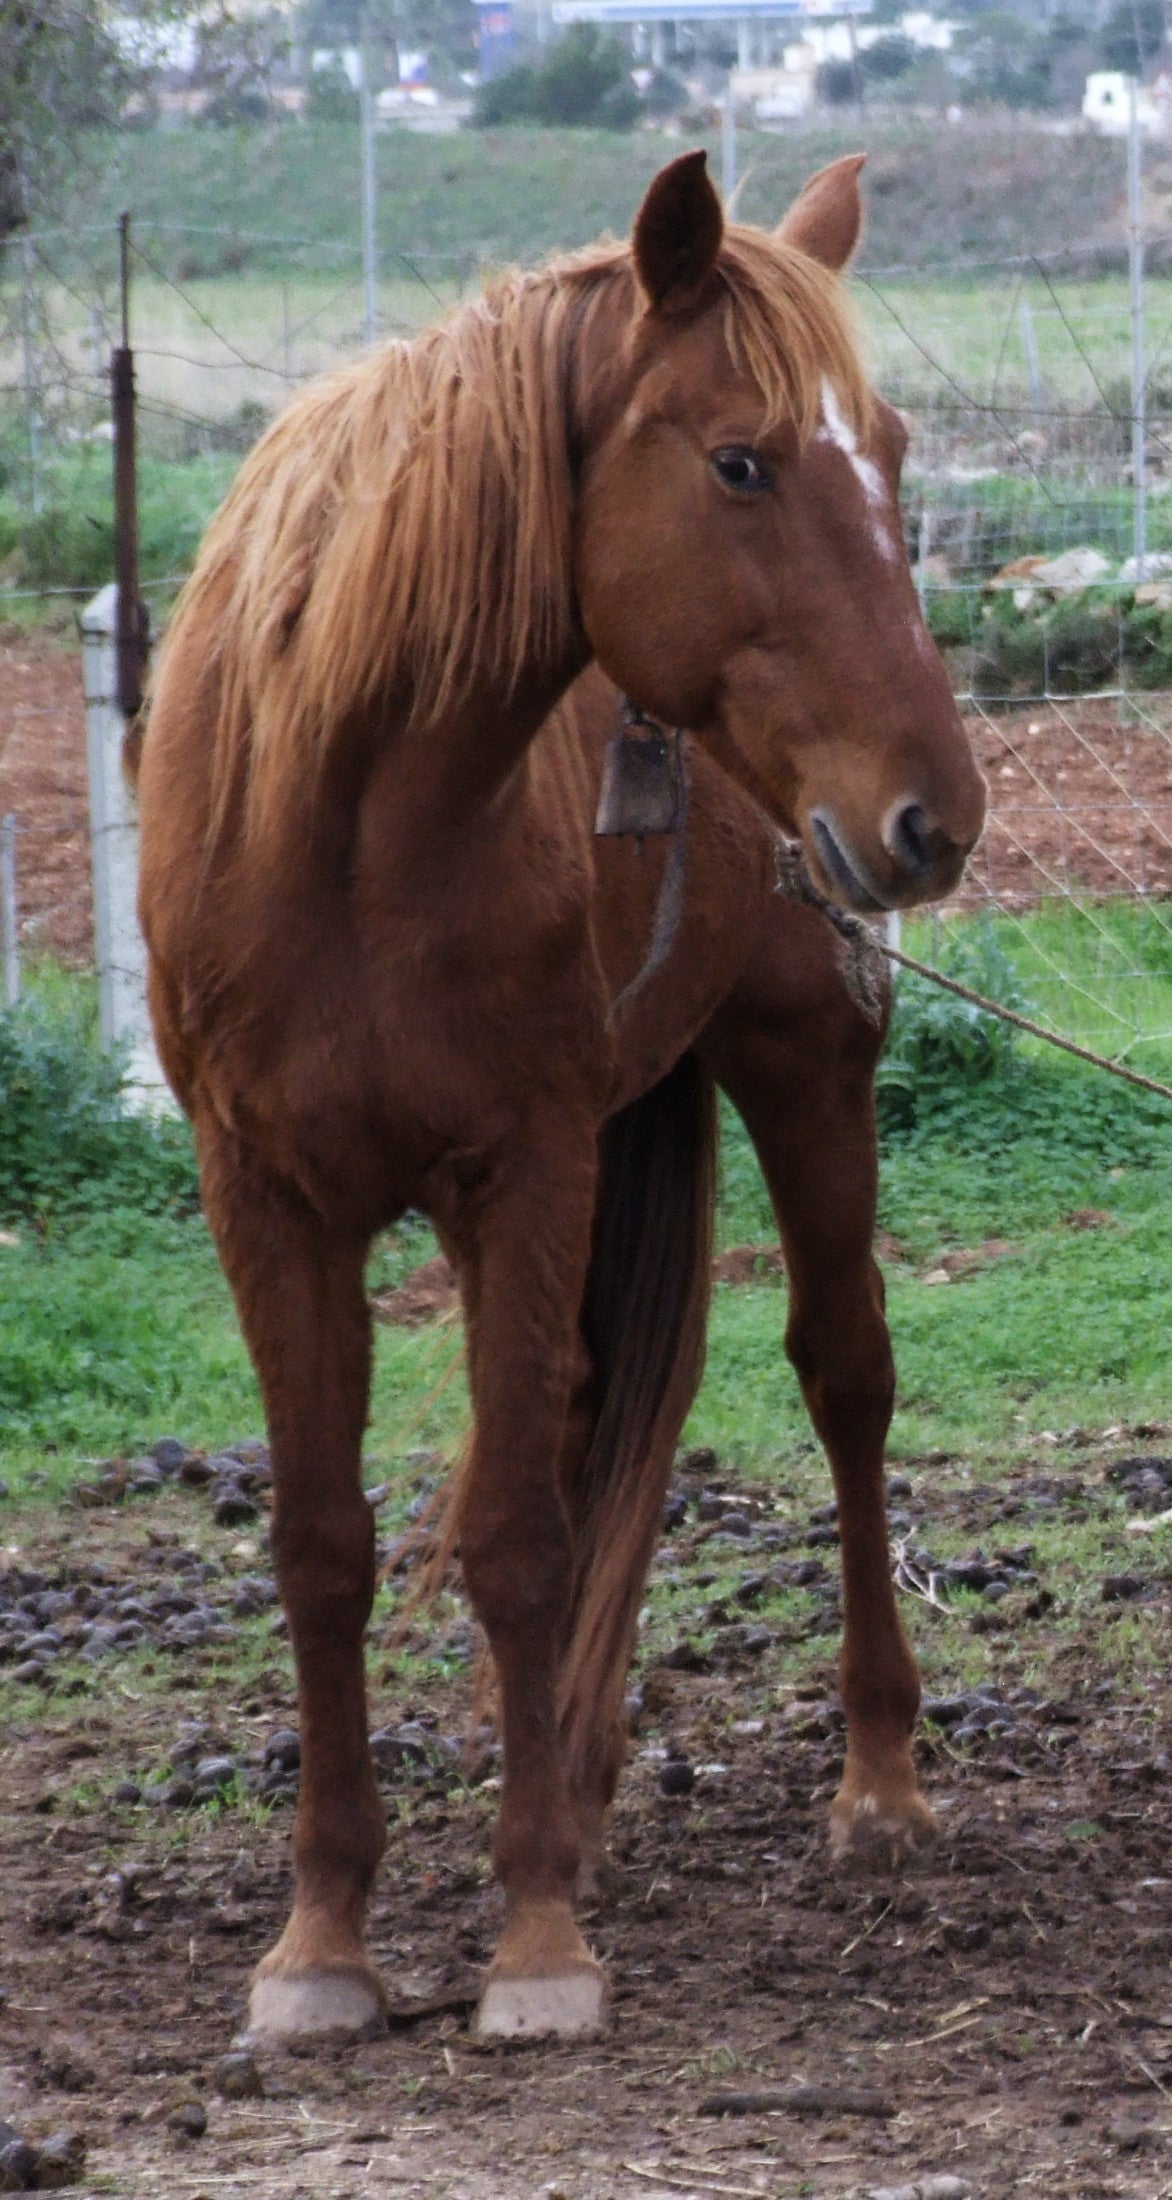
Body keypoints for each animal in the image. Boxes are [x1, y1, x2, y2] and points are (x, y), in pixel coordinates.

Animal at [134, 155, 976, 2041]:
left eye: (889, 446)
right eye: (739, 461)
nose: (934, 818)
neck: (350, 812)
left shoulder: (518, 1169)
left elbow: (518, 1537)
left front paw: (530, 1944)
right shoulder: (263, 1197)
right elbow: (322, 1545)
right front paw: (321, 1944)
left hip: (798, 1068)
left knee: (845, 1380)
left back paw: (875, 1787)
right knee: (602, 1416)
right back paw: (578, 1785)